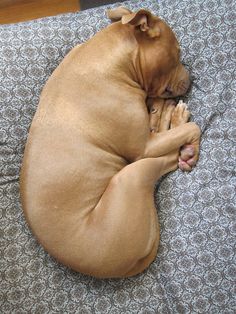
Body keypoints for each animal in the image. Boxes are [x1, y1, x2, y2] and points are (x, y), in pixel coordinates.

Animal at [20, 6, 201, 278]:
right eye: (177, 51)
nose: (191, 79)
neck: (111, 60)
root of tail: (123, 268)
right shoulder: (144, 147)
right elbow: (193, 128)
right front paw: (189, 141)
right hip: (132, 173)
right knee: (166, 157)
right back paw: (181, 137)